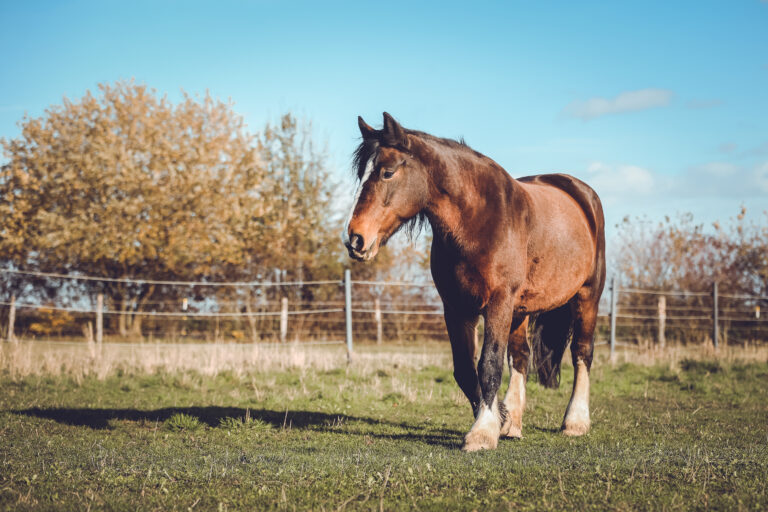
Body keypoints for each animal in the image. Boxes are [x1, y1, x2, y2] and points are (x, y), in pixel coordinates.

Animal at [343, 113, 606, 451]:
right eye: (362, 174)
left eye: (387, 172)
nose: (356, 239)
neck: (476, 219)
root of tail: (581, 193)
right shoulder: (456, 308)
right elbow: (465, 370)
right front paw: (499, 420)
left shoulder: (498, 302)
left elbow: (489, 364)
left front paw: (482, 432)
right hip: (520, 311)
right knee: (521, 356)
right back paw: (514, 423)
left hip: (587, 296)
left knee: (582, 352)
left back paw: (575, 421)